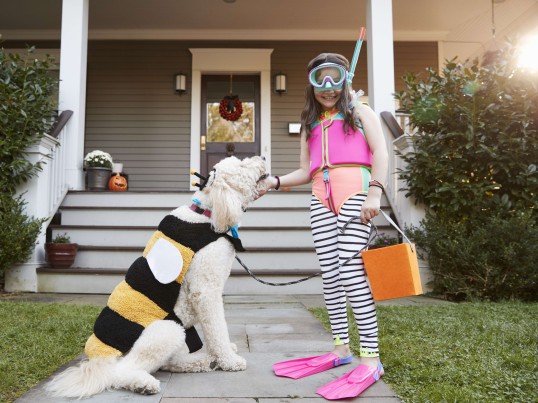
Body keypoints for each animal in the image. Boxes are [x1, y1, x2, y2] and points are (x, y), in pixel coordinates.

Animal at [45, 156, 268, 400]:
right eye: (242, 165)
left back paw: (204, 361)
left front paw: (223, 354)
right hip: (167, 331)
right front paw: (229, 360)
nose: (263, 158)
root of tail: (98, 360)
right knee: (121, 372)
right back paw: (145, 383)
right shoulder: (205, 291)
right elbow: (217, 329)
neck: (207, 213)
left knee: (170, 362)